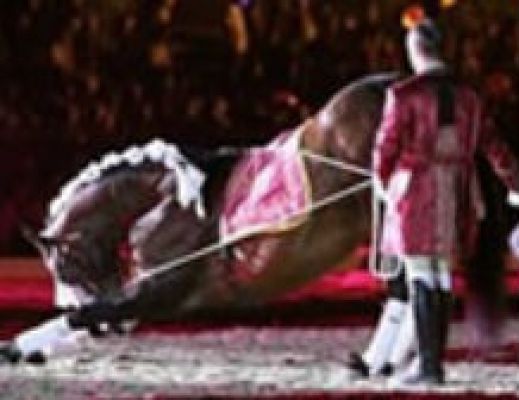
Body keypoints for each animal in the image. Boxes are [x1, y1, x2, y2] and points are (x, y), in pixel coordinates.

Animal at [1, 72, 508, 362]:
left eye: (66, 267)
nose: (112, 332)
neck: (165, 197)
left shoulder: (163, 293)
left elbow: (88, 315)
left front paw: (17, 345)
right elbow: (91, 318)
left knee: (409, 285)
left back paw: (383, 364)